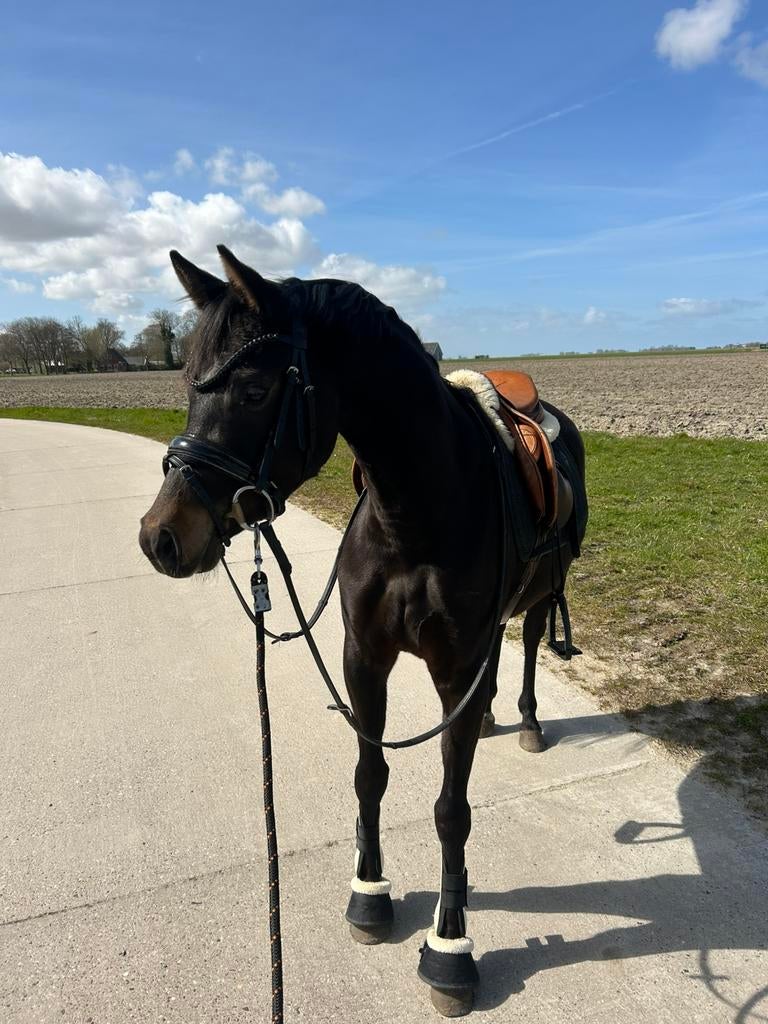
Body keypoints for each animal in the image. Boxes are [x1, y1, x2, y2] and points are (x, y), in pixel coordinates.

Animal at [139, 245, 587, 1016]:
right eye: (190, 384)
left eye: (253, 390)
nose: (160, 536)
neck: (418, 514)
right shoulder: (364, 660)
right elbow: (370, 775)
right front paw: (369, 893)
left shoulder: (453, 668)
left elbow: (450, 809)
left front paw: (450, 947)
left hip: (540, 596)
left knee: (528, 644)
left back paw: (526, 720)